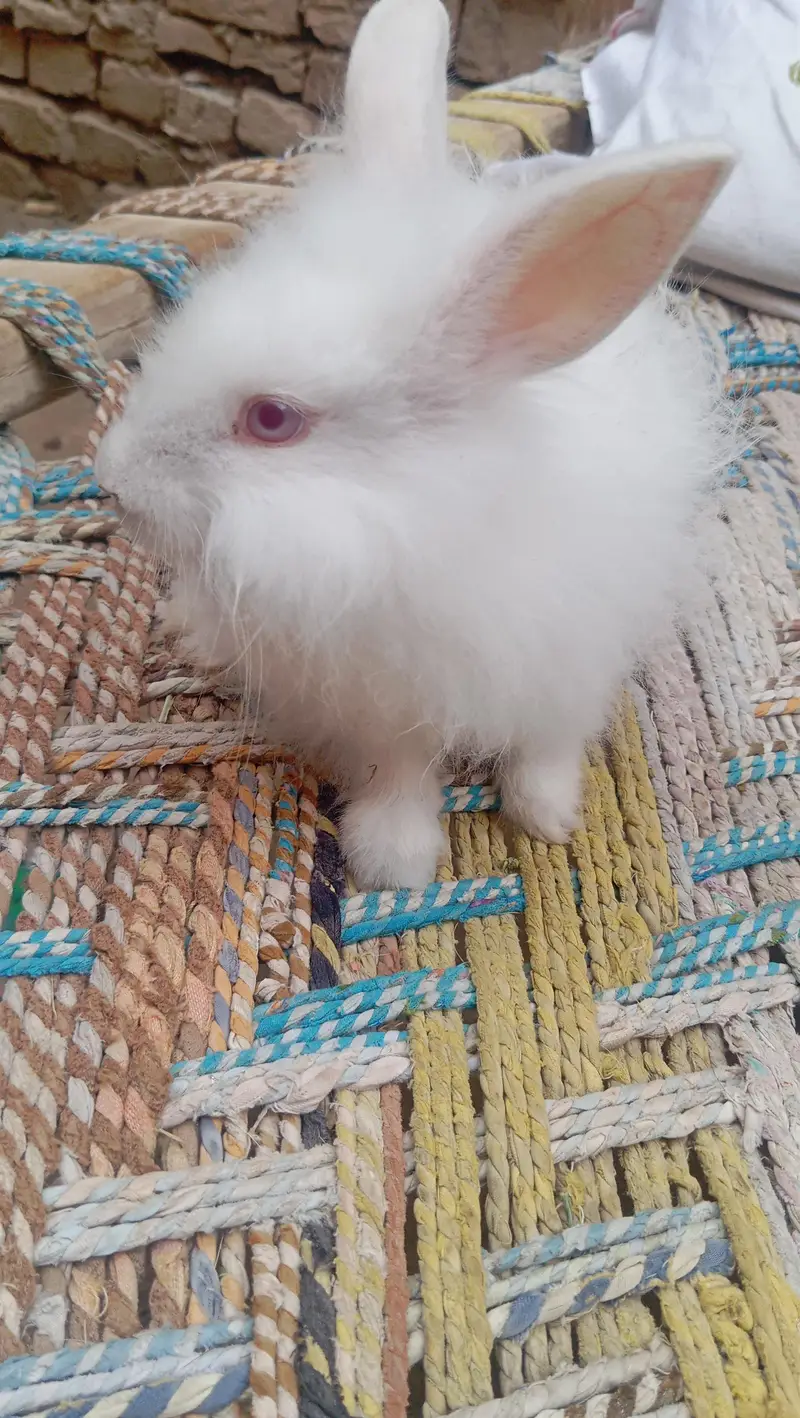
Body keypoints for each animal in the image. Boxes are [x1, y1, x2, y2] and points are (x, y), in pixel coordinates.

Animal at [94, 0, 735, 891]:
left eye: (273, 419)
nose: (111, 479)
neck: (420, 515)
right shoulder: (383, 707)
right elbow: (398, 772)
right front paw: (393, 861)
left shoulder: (568, 659)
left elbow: (547, 744)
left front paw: (548, 817)